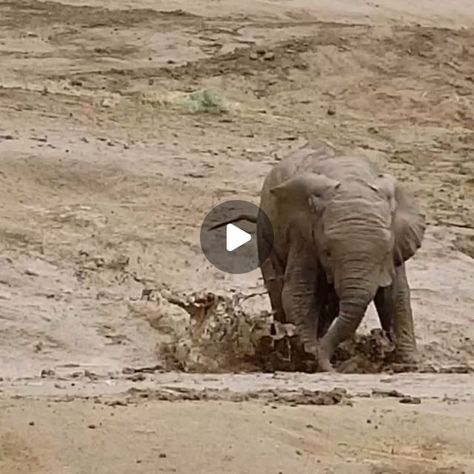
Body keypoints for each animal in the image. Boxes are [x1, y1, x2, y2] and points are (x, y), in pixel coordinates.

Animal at [248, 144, 426, 370]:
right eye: (327, 252)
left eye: (385, 253)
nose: (333, 367)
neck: (352, 181)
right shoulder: (303, 234)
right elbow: (299, 292)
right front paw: (308, 353)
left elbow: (396, 295)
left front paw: (410, 364)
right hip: (266, 234)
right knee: (278, 287)